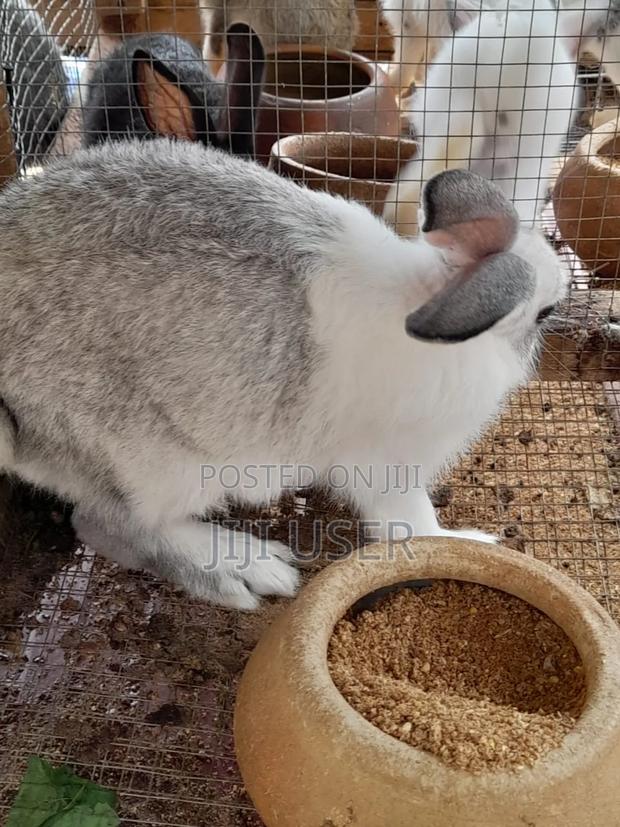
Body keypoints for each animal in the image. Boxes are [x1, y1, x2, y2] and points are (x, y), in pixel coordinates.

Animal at [0, 139, 567, 609]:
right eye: (545, 313)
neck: (433, 294)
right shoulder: (389, 470)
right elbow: (416, 526)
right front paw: (469, 543)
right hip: (160, 466)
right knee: (105, 525)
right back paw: (245, 569)